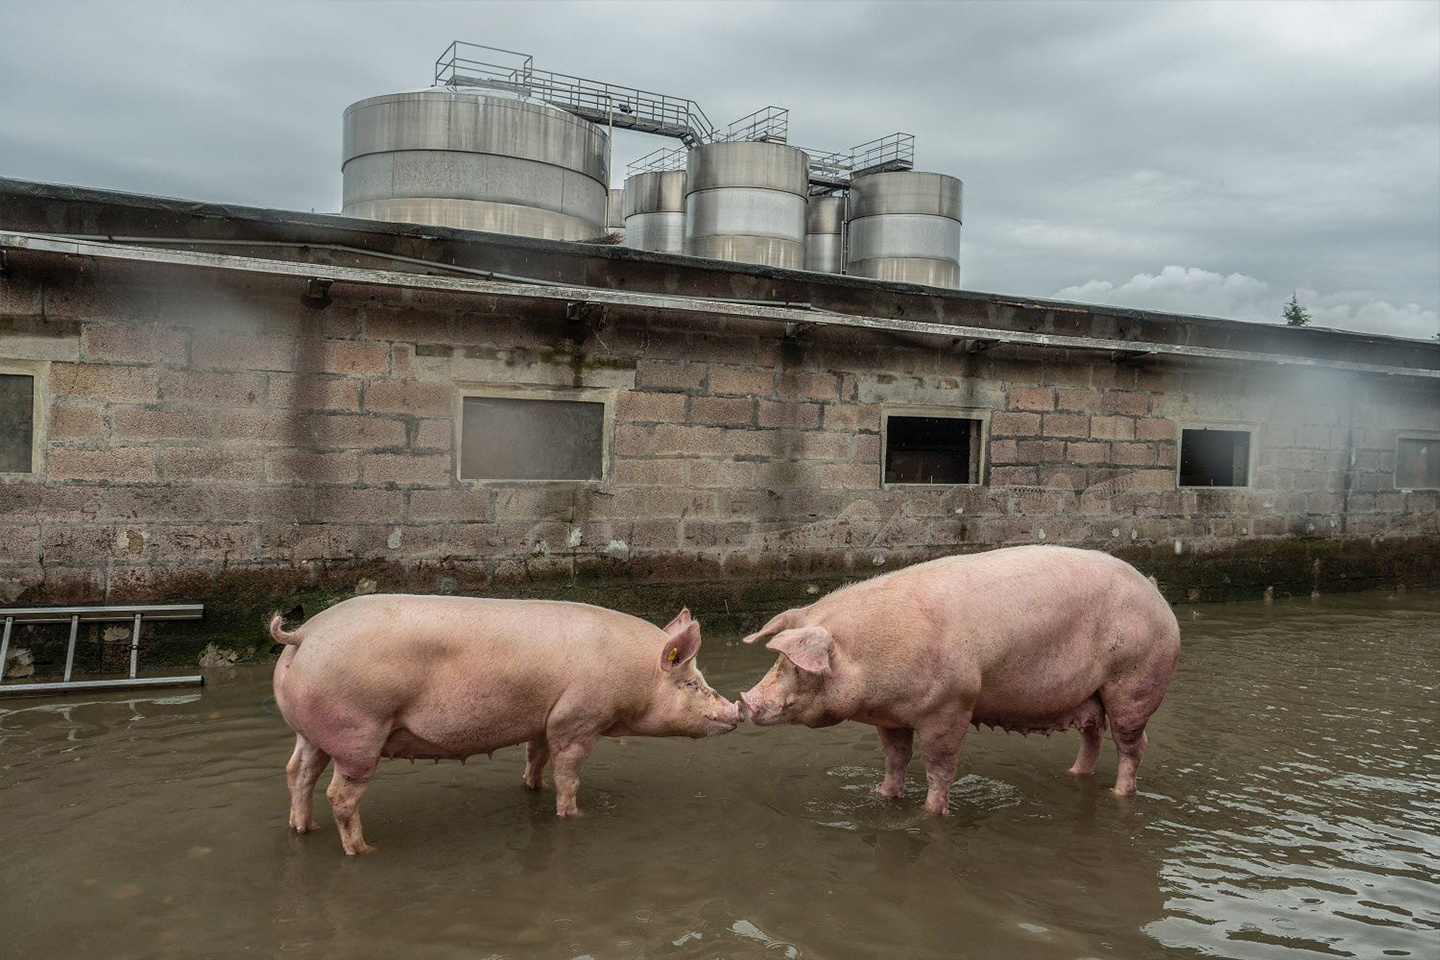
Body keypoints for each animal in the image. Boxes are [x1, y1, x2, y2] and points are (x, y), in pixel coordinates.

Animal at [270, 596, 740, 854]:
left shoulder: (545, 720)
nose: (737, 712)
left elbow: (536, 758)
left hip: (311, 732)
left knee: (298, 773)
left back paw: (303, 828)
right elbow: (568, 774)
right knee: (339, 794)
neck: (633, 676)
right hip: (358, 732)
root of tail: (303, 634)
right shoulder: (577, 719)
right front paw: (573, 813)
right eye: (691, 683)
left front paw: (534, 788)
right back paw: (363, 849)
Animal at [739, 546, 1180, 814]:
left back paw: (1117, 793)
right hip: (1091, 693)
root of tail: (1154, 591)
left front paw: (930, 812)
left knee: (1132, 745)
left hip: (1135, 683)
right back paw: (1073, 775)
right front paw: (884, 796)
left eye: (796, 666)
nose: (746, 699)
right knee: (1093, 734)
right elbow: (895, 759)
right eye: (777, 662)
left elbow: (939, 767)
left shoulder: (950, 706)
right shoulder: (892, 718)